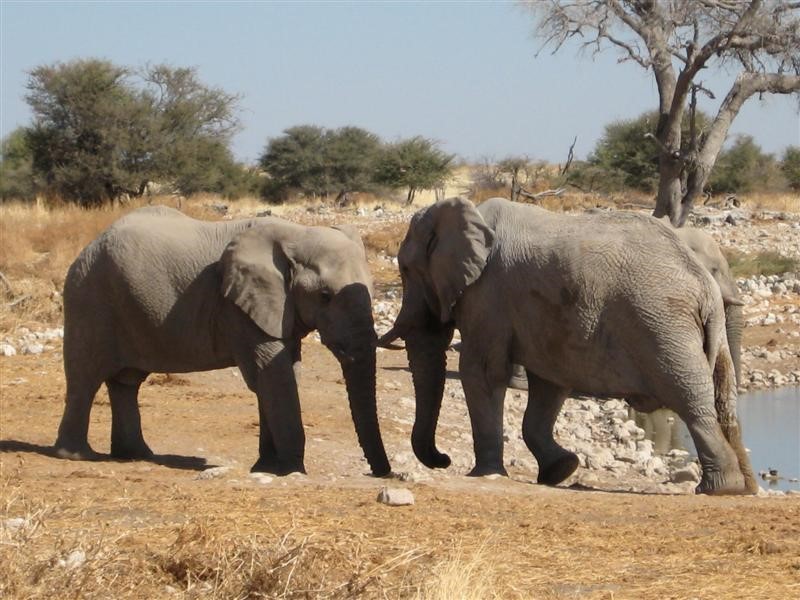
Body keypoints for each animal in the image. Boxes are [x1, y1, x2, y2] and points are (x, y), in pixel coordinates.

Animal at [53, 206, 390, 478]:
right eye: (324, 296)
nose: (381, 473)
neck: (296, 234)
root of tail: (88, 247)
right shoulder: (236, 306)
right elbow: (273, 374)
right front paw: (292, 471)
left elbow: (279, 374)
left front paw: (267, 468)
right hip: (89, 299)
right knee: (85, 377)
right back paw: (76, 455)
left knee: (126, 383)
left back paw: (136, 455)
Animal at [380, 199, 756, 494]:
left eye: (406, 269)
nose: (442, 460)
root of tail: (702, 285)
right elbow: (549, 385)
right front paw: (560, 470)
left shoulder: (486, 295)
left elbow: (483, 374)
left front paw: (485, 474)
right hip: (698, 330)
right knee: (723, 400)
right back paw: (740, 488)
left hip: (666, 328)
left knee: (691, 400)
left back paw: (718, 488)